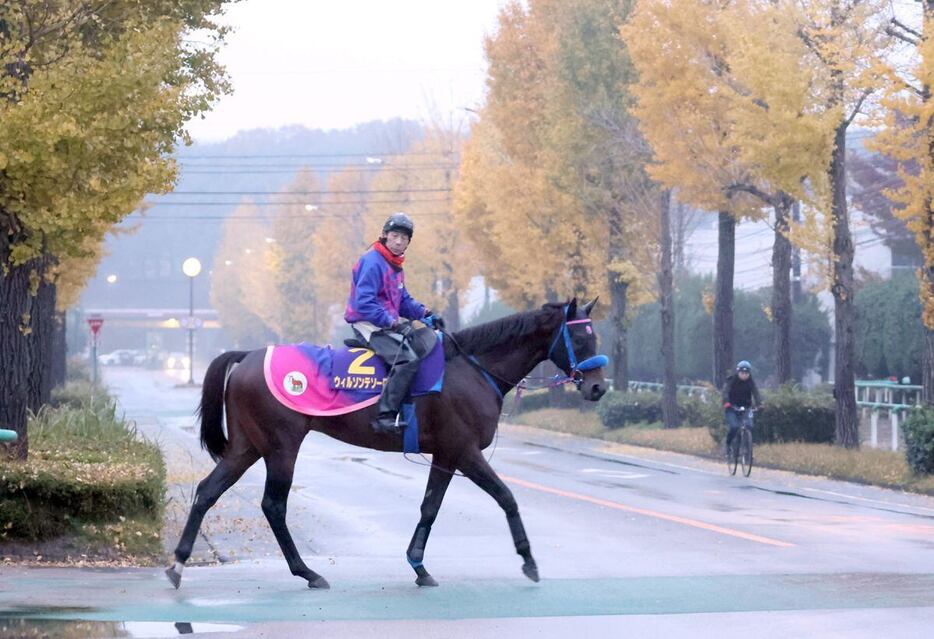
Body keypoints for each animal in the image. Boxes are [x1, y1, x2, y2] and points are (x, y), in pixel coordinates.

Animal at [165, 298, 612, 592]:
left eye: (595, 336)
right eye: (580, 339)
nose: (598, 388)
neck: (470, 368)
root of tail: (247, 357)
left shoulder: (446, 454)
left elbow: (430, 507)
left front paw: (419, 565)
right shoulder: (465, 451)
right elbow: (506, 497)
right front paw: (529, 560)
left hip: (248, 446)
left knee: (207, 491)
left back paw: (179, 563)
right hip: (281, 446)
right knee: (273, 505)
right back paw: (307, 572)